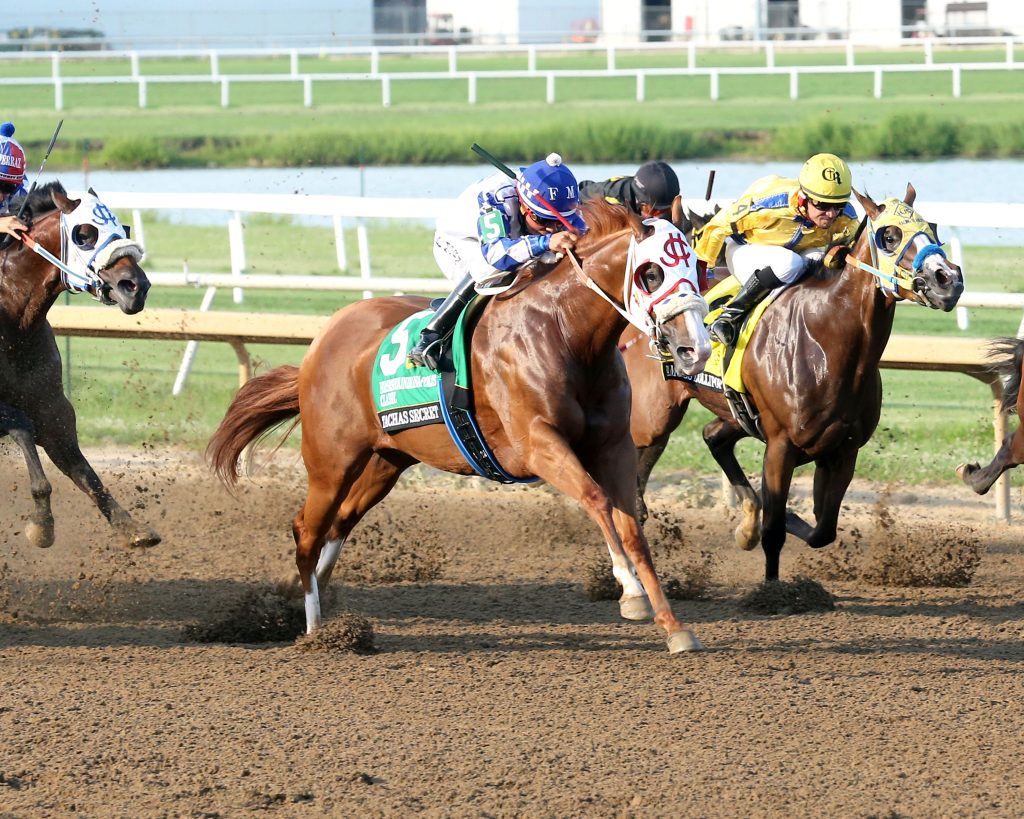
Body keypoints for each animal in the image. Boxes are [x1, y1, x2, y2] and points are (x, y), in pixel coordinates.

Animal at [0, 181, 159, 549]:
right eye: (84, 234)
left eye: (124, 229)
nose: (136, 287)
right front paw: (42, 524)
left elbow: (85, 472)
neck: (15, 326)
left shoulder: (53, 409)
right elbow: (23, 427)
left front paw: (131, 527)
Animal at [208, 200, 712, 653]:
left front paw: (673, 627)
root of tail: (322, 339)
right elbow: (596, 500)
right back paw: (315, 632)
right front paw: (629, 590)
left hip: (386, 462)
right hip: (332, 461)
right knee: (307, 531)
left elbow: (632, 527)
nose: (697, 349)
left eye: (698, 264)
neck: (565, 331)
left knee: (340, 524)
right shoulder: (539, 445)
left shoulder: (614, 446)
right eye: (652, 273)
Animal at [625, 184, 965, 582]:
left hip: (733, 412)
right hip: (655, 413)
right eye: (890, 236)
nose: (948, 279)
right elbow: (774, 533)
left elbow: (822, 529)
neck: (825, 340)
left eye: (933, 228)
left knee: (712, 437)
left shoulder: (843, 450)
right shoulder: (780, 446)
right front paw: (773, 586)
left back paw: (744, 524)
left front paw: (784, 518)